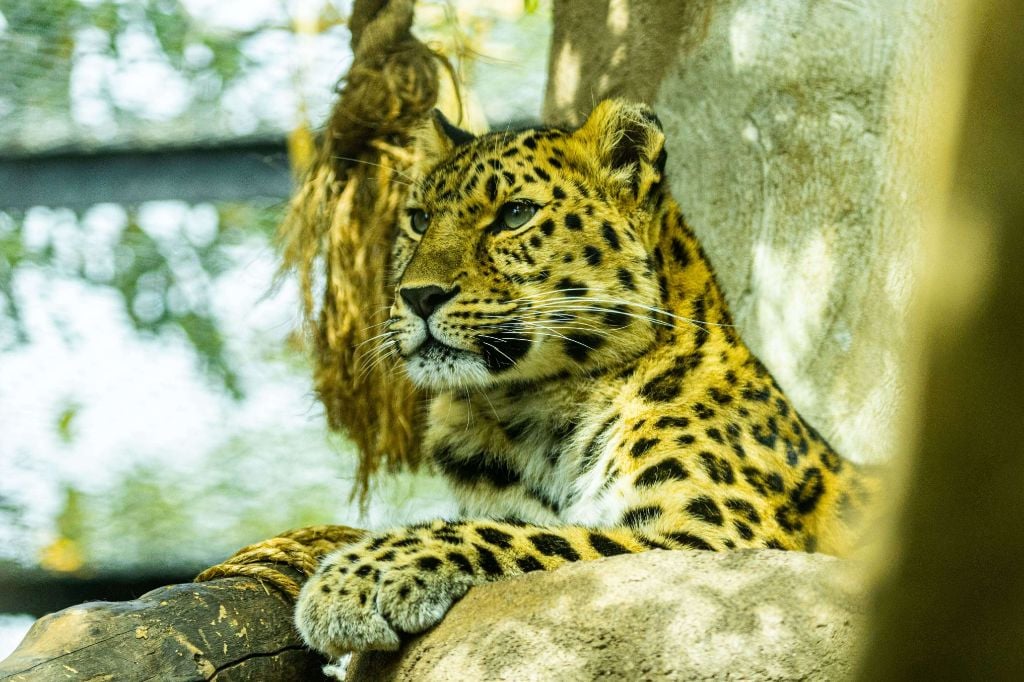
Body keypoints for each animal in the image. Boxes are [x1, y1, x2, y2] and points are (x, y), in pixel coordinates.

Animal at [295, 98, 878, 659]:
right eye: (418, 220)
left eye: (515, 214)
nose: (418, 296)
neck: (530, 413)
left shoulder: (719, 536)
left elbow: (541, 538)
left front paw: (358, 576)